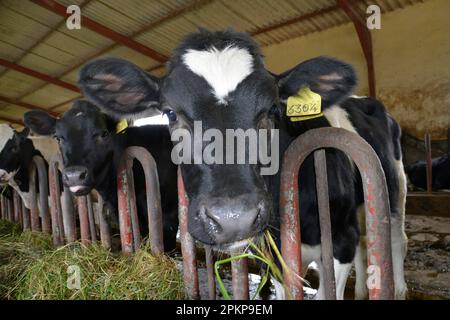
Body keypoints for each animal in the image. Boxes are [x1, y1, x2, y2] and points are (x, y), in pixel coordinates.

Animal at [75, 29, 406, 300]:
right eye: (170, 113)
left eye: (272, 109)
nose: (234, 218)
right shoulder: (277, 254)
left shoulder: (341, 239)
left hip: (394, 187)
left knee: (395, 237)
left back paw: (399, 287)